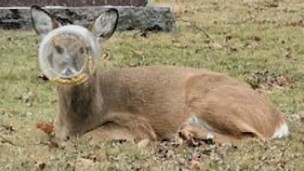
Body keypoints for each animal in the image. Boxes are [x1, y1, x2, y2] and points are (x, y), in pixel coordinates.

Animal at [29, 5, 288, 144]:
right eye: (56, 47)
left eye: (87, 48)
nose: (69, 71)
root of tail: (278, 121)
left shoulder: (136, 123)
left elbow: (92, 136)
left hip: (214, 102)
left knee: (254, 137)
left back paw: (191, 134)